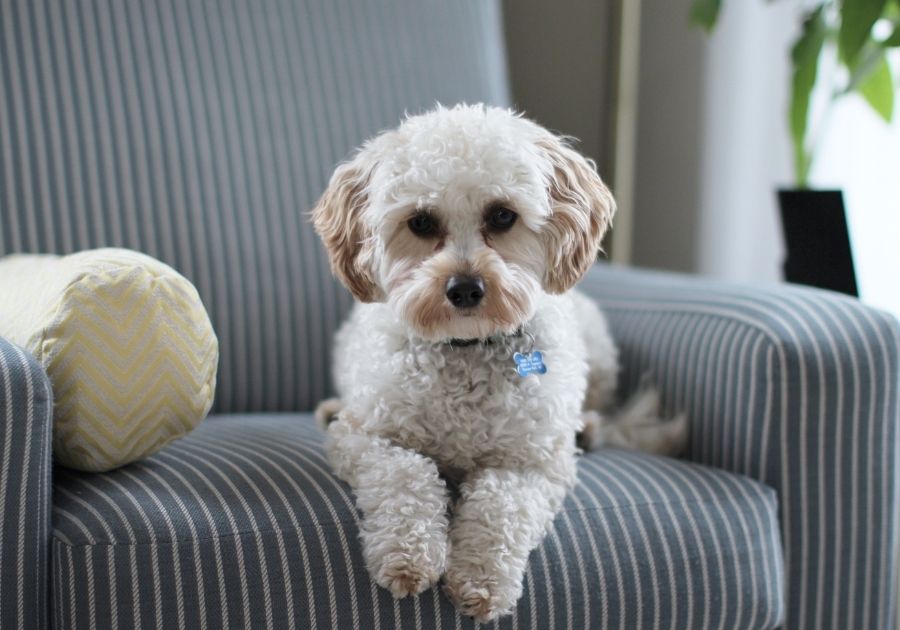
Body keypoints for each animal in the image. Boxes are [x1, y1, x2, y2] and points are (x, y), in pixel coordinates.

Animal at [312, 103, 684, 624]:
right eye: (421, 223)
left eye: (503, 215)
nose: (465, 288)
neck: (466, 348)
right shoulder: (366, 437)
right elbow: (406, 475)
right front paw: (408, 554)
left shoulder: (530, 463)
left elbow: (500, 506)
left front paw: (481, 579)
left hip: (597, 349)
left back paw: (587, 428)